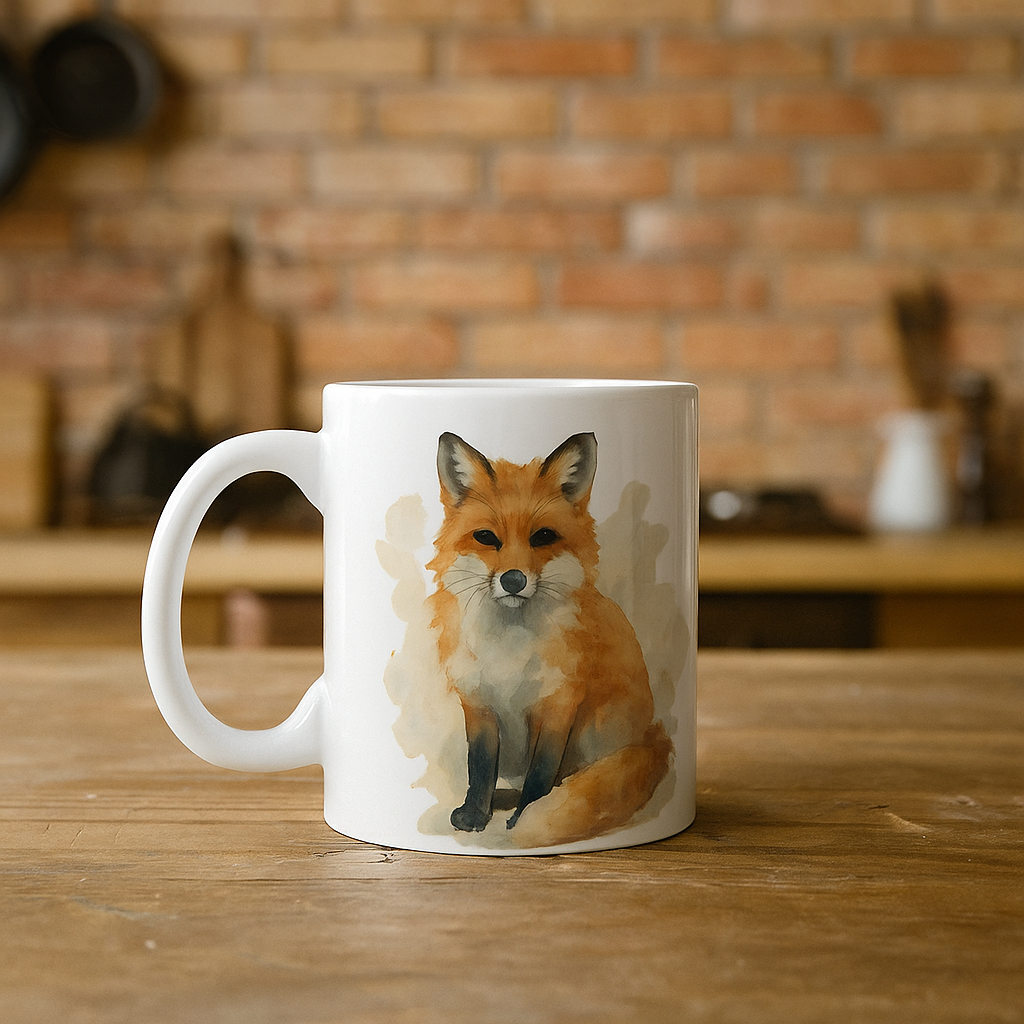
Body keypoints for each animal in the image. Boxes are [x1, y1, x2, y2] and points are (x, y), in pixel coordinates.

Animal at [426, 431, 672, 847]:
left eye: (543, 537)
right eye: (486, 538)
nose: (513, 579)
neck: (508, 646)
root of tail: (655, 738)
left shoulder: (558, 705)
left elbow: (540, 775)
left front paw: (523, 818)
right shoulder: (478, 701)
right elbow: (480, 765)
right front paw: (476, 813)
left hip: (596, 729)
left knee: (571, 779)